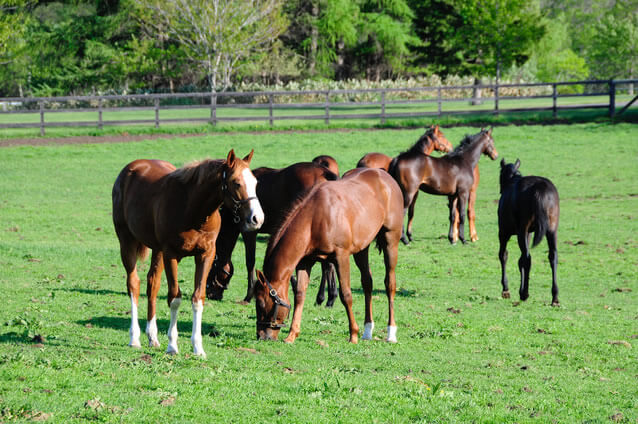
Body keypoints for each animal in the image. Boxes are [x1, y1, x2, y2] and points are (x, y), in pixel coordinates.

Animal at [113, 151, 264, 356]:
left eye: (255, 182)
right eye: (236, 182)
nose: (257, 219)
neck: (193, 210)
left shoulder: (206, 255)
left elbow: (198, 298)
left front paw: (198, 347)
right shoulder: (171, 254)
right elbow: (175, 298)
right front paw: (172, 345)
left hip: (157, 250)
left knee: (152, 284)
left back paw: (152, 337)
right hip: (127, 241)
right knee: (133, 284)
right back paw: (134, 338)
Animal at [209, 161, 342, 304]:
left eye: (212, 265)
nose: (210, 294)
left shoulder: (249, 232)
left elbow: (250, 261)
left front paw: (249, 295)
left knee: (327, 265)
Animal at [255, 167, 404, 342]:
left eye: (261, 303)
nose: (262, 336)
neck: (314, 219)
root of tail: (384, 175)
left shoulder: (341, 257)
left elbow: (346, 295)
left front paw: (353, 334)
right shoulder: (305, 262)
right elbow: (299, 294)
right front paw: (292, 335)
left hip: (391, 241)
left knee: (390, 284)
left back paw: (391, 332)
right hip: (362, 249)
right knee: (367, 282)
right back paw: (367, 331)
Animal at [500, 158, 560, 304]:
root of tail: (540, 189)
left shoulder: (504, 232)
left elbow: (503, 255)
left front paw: (506, 289)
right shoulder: (528, 234)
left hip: (521, 230)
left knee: (527, 258)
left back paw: (524, 293)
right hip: (552, 230)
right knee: (553, 256)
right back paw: (555, 297)